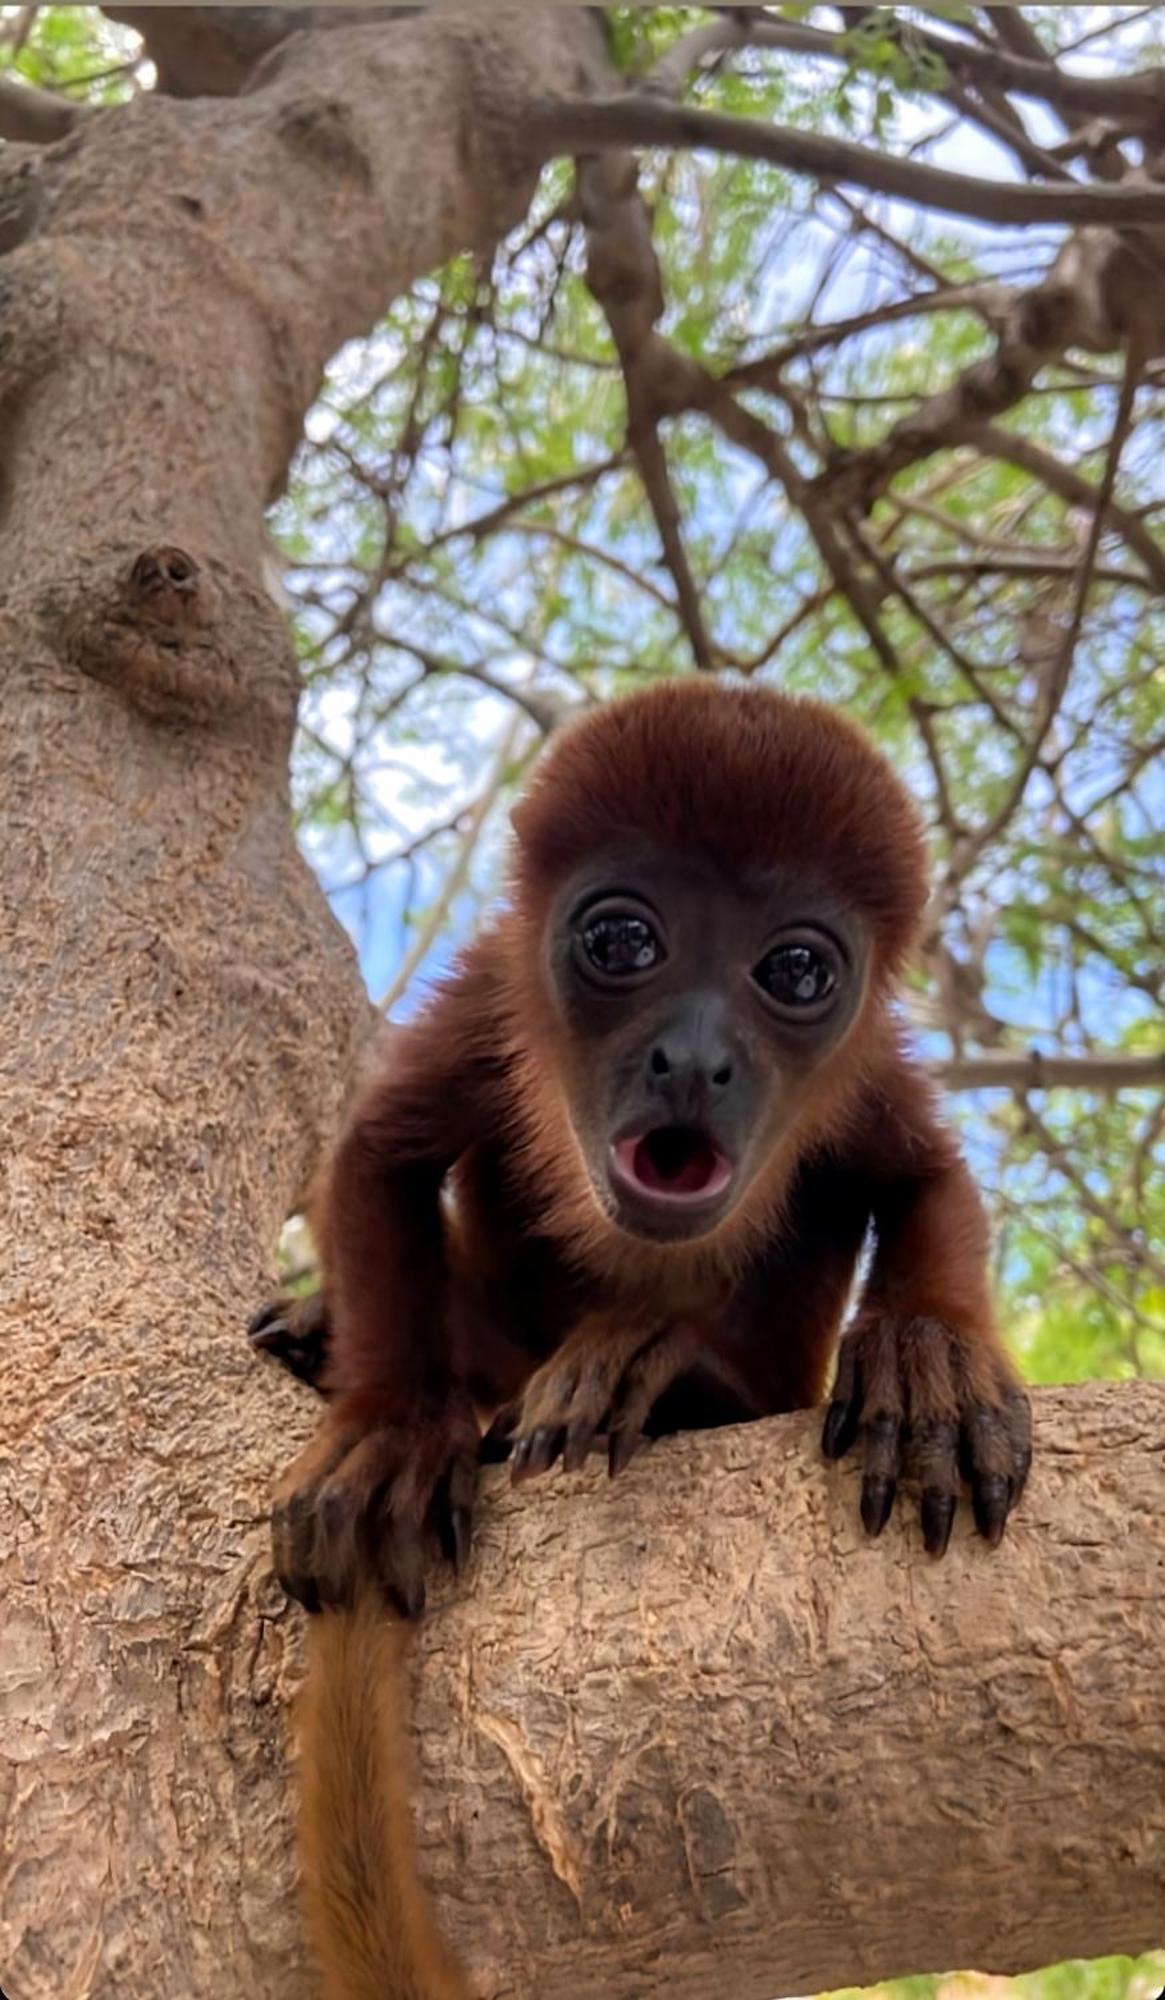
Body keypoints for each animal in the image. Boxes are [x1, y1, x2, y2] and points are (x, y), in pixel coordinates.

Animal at [256, 680, 1032, 1992]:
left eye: (794, 968)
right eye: (623, 943)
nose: (695, 1056)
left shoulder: (863, 1063)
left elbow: (921, 1176)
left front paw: (925, 1351)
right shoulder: (488, 989)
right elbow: (381, 1153)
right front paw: (392, 1430)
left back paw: (679, 1375)